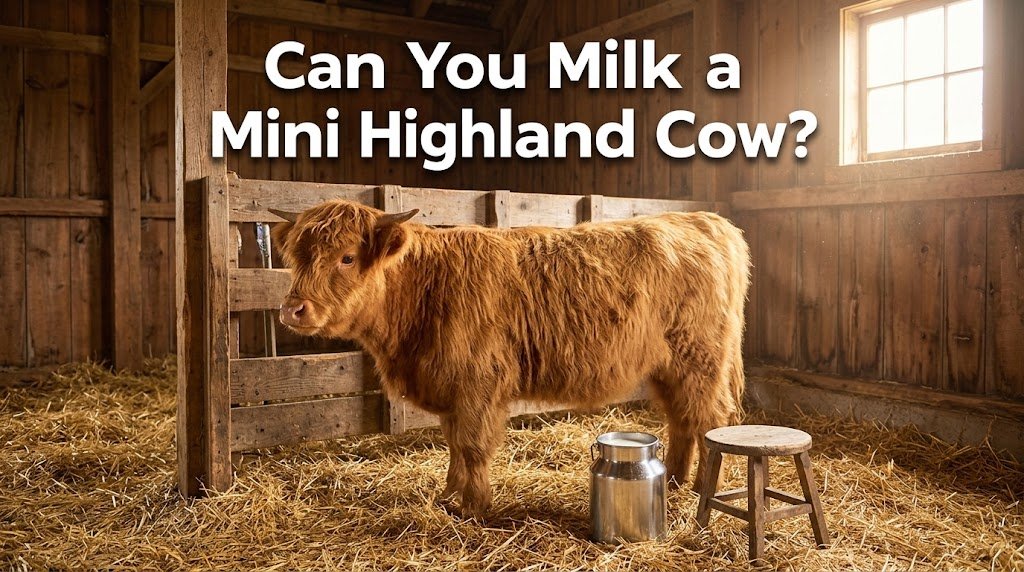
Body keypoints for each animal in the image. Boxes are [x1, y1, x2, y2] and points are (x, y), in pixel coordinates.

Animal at [269, 200, 750, 516]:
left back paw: (701, 490)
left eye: (348, 257)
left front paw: (475, 507)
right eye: (296, 256)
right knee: (681, 419)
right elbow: (454, 445)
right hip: (670, 367)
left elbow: (472, 446)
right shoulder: (452, 389)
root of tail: (702, 219)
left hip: (700, 360)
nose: (293, 309)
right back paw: (673, 481)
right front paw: (449, 497)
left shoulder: (478, 383)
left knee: (709, 420)